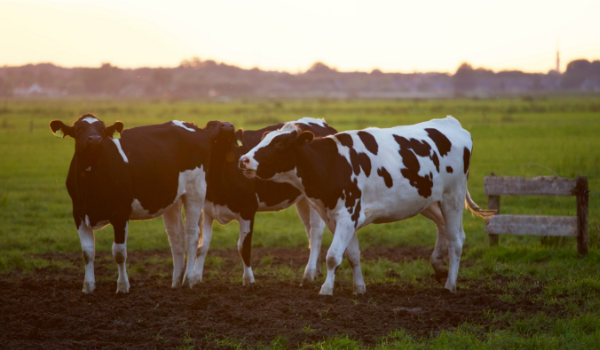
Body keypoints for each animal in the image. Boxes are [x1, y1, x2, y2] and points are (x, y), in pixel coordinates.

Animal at [50, 114, 232, 292]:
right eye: (79, 129)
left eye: (102, 129)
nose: (94, 139)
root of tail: (194, 127)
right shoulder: (78, 213)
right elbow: (87, 252)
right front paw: (88, 287)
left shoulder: (120, 213)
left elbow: (119, 252)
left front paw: (123, 286)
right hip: (172, 199)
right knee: (176, 237)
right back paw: (176, 282)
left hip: (196, 191)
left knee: (192, 235)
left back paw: (188, 280)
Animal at [196, 116, 338, 286]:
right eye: (210, 124)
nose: (228, 126)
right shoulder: (207, 210)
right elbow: (202, 246)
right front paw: (193, 279)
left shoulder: (248, 209)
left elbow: (243, 247)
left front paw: (249, 281)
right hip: (304, 200)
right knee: (309, 230)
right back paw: (316, 271)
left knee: (316, 232)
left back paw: (308, 274)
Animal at [238, 116, 492, 294]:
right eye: (264, 138)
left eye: (280, 143)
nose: (243, 160)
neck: (331, 163)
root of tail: (450, 122)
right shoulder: (338, 217)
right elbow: (352, 255)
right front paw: (359, 288)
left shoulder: (347, 214)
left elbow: (333, 256)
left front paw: (326, 289)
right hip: (427, 199)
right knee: (444, 228)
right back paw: (438, 267)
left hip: (453, 196)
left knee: (456, 240)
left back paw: (450, 285)